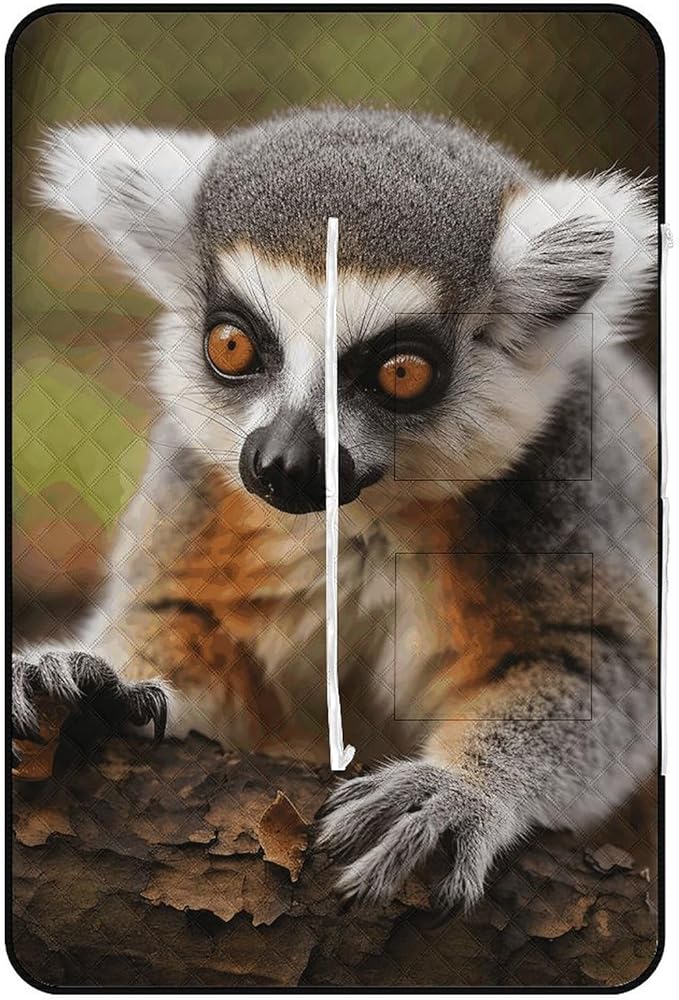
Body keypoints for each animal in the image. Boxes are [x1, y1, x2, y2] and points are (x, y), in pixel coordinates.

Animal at [12, 107, 657, 910]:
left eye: (401, 372)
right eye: (232, 344)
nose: (284, 466)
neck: (358, 520)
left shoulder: (565, 480)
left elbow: (599, 665)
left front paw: (459, 786)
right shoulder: (201, 489)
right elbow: (190, 631)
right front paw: (97, 683)